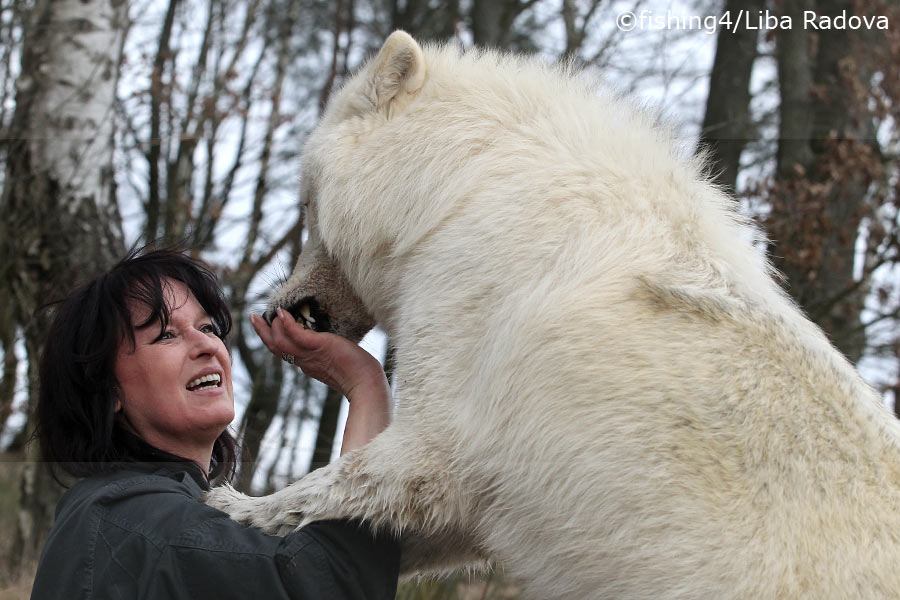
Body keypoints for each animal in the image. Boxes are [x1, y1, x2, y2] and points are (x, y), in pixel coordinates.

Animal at [206, 31, 900, 596]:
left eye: (305, 202)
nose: (274, 305)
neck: (458, 185)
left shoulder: (454, 391)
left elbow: (360, 478)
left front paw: (234, 505)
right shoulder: (489, 504)